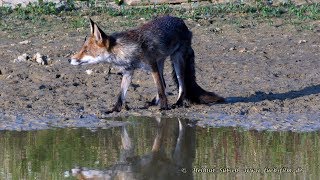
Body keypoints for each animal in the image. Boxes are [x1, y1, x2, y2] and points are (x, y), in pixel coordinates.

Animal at [69, 15, 225, 112]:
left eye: (86, 51)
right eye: (82, 49)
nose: (69, 59)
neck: (128, 50)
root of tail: (183, 23)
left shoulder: (152, 66)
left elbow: (161, 90)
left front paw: (164, 108)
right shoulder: (128, 72)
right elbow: (121, 95)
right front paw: (114, 110)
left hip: (177, 61)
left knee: (182, 85)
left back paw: (177, 103)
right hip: (161, 61)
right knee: (165, 83)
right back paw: (153, 102)